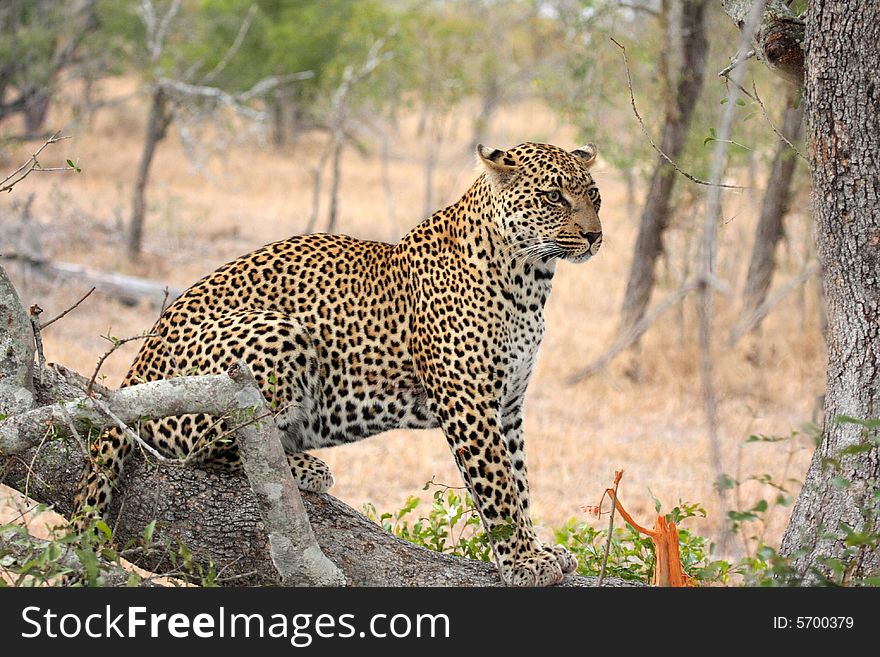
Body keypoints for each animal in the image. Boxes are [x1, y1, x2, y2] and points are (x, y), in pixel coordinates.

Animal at [77, 142, 604, 584]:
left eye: (594, 196)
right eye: (554, 197)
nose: (595, 236)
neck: (530, 281)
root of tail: (138, 363)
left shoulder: (509, 404)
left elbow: (520, 481)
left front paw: (541, 550)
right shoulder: (468, 400)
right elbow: (498, 488)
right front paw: (523, 562)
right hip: (276, 336)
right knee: (205, 446)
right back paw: (304, 467)